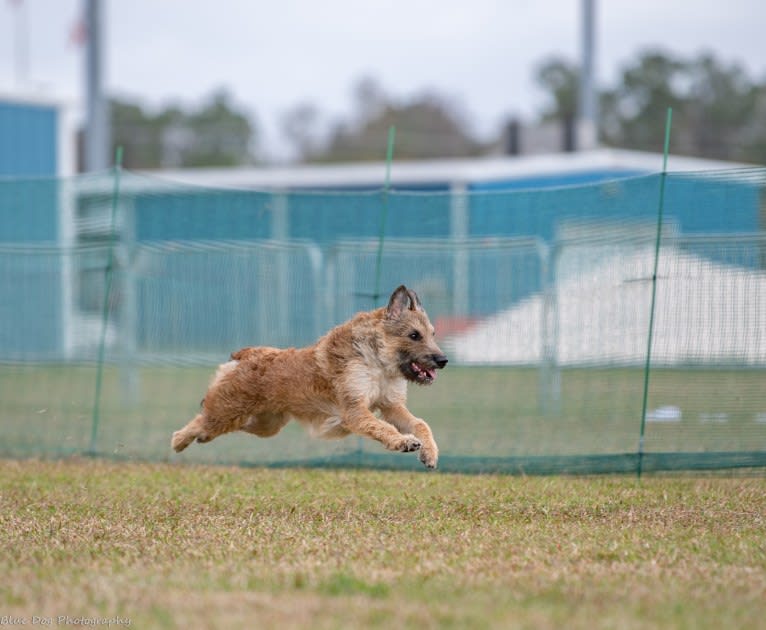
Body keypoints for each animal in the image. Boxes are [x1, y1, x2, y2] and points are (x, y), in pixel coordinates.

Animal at [172, 286, 450, 470]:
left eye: (432, 334)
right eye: (414, 335)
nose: (443, 360)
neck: (377, 361)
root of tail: (247, 354)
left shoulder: (391, 406)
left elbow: (420, 424)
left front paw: (429, 453)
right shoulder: (355, 410)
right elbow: (382, 426)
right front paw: (403, 442)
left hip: (265, 424)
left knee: (224, 426)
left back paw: (201, 438)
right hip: (229, 411)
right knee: (201, 420)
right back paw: (180, 441)